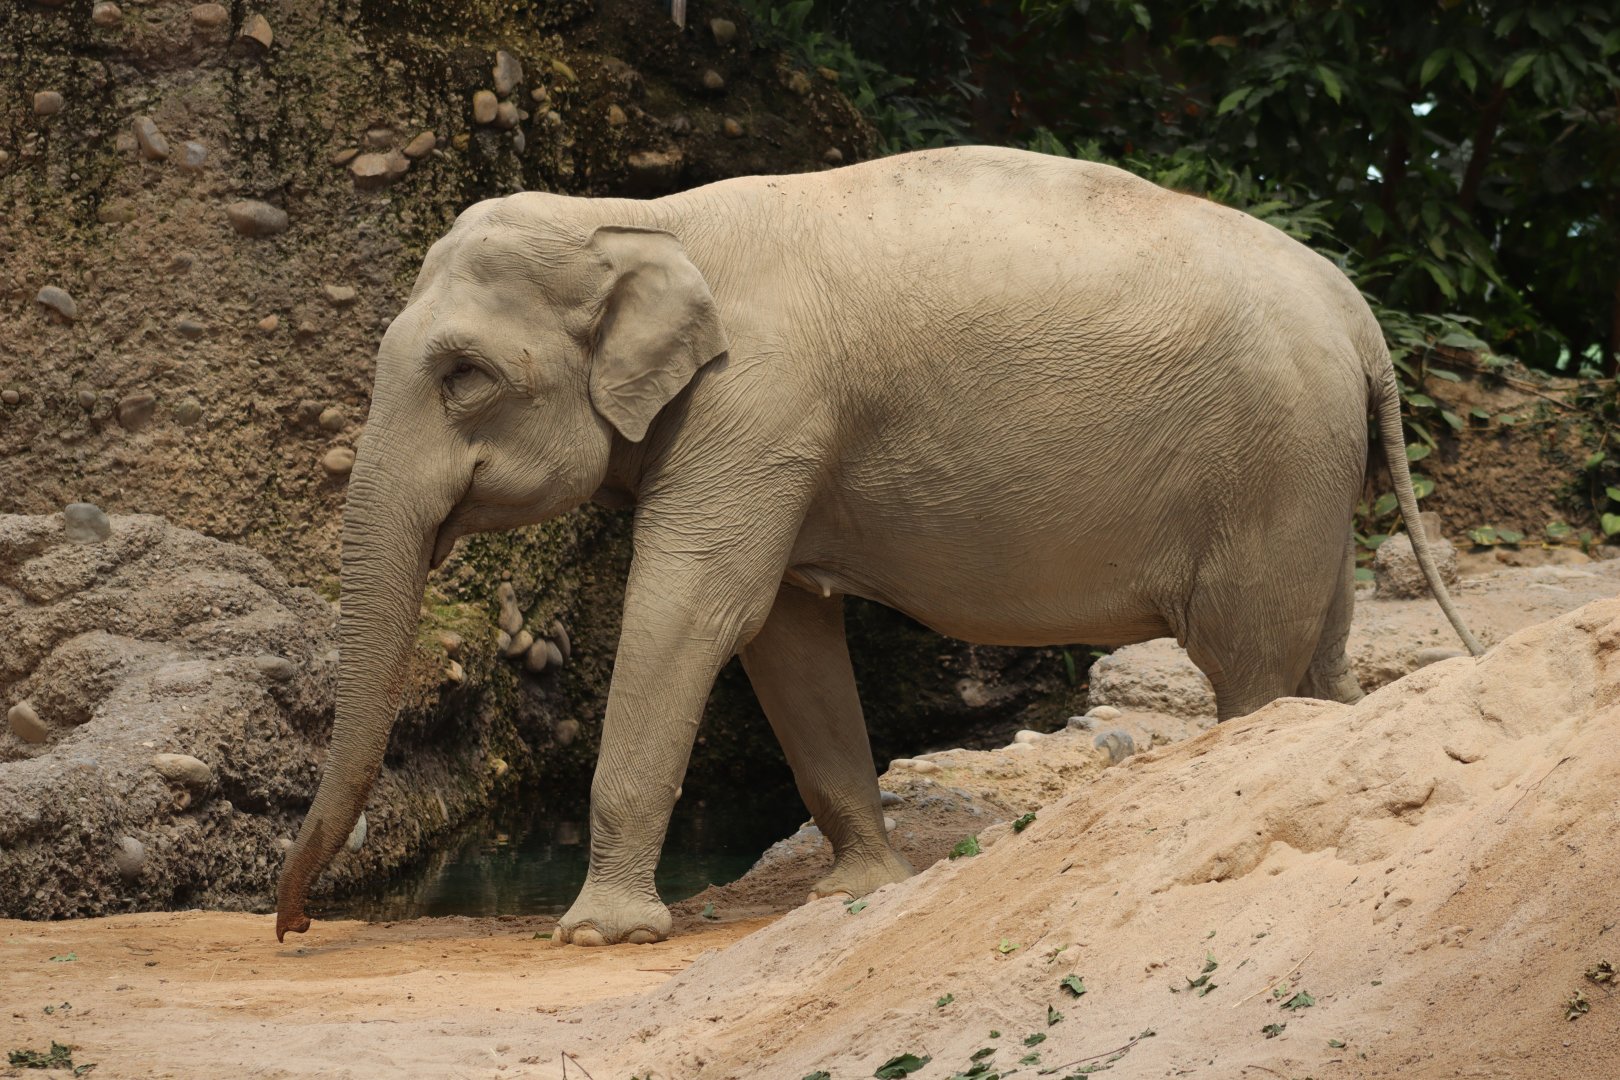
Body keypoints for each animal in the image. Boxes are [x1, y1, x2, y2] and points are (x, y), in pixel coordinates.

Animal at [275, 144, 1481, 947]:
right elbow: (785, 632)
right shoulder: (774, 436)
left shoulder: (758, 404)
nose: (291, 928)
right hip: (1314, 471)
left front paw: (601, 935)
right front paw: (853, 892)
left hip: (1272, 461)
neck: (639, 216)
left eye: (465, 376)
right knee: (1321, 650)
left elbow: (699, 607)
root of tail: (1361, 315)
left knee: (1248, 660)